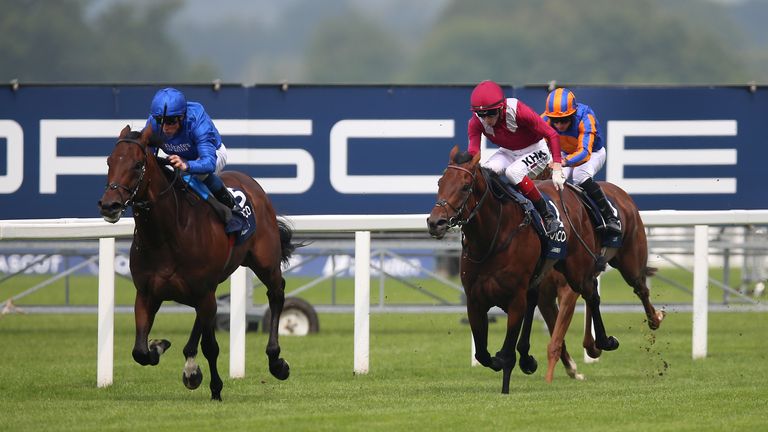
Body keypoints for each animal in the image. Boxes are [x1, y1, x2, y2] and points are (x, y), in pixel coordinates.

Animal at [97, 125, 300, 402]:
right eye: (109, 161)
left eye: (138, 165)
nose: (110, 205)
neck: (167, 235)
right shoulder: (147, 293)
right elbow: (140, 351)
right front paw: (160, 347)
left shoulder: (203, 292)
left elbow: (211, 347)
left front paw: (216, 389)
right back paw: (190, 365)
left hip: (264, 263)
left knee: (276, 294)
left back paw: (276, 361)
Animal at [428, 146, 620, 394]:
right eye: (440, 182)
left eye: (465, 186)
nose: (436, 223)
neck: (491, 238)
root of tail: (570, 191)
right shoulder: (474, 299)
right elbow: (482, 354)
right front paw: (514, 360)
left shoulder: (515, 298)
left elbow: (507, 351)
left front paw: (505, 384)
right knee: (543, 300)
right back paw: (529, 357)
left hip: (577, 269)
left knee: (592, 293)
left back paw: (602, 343)